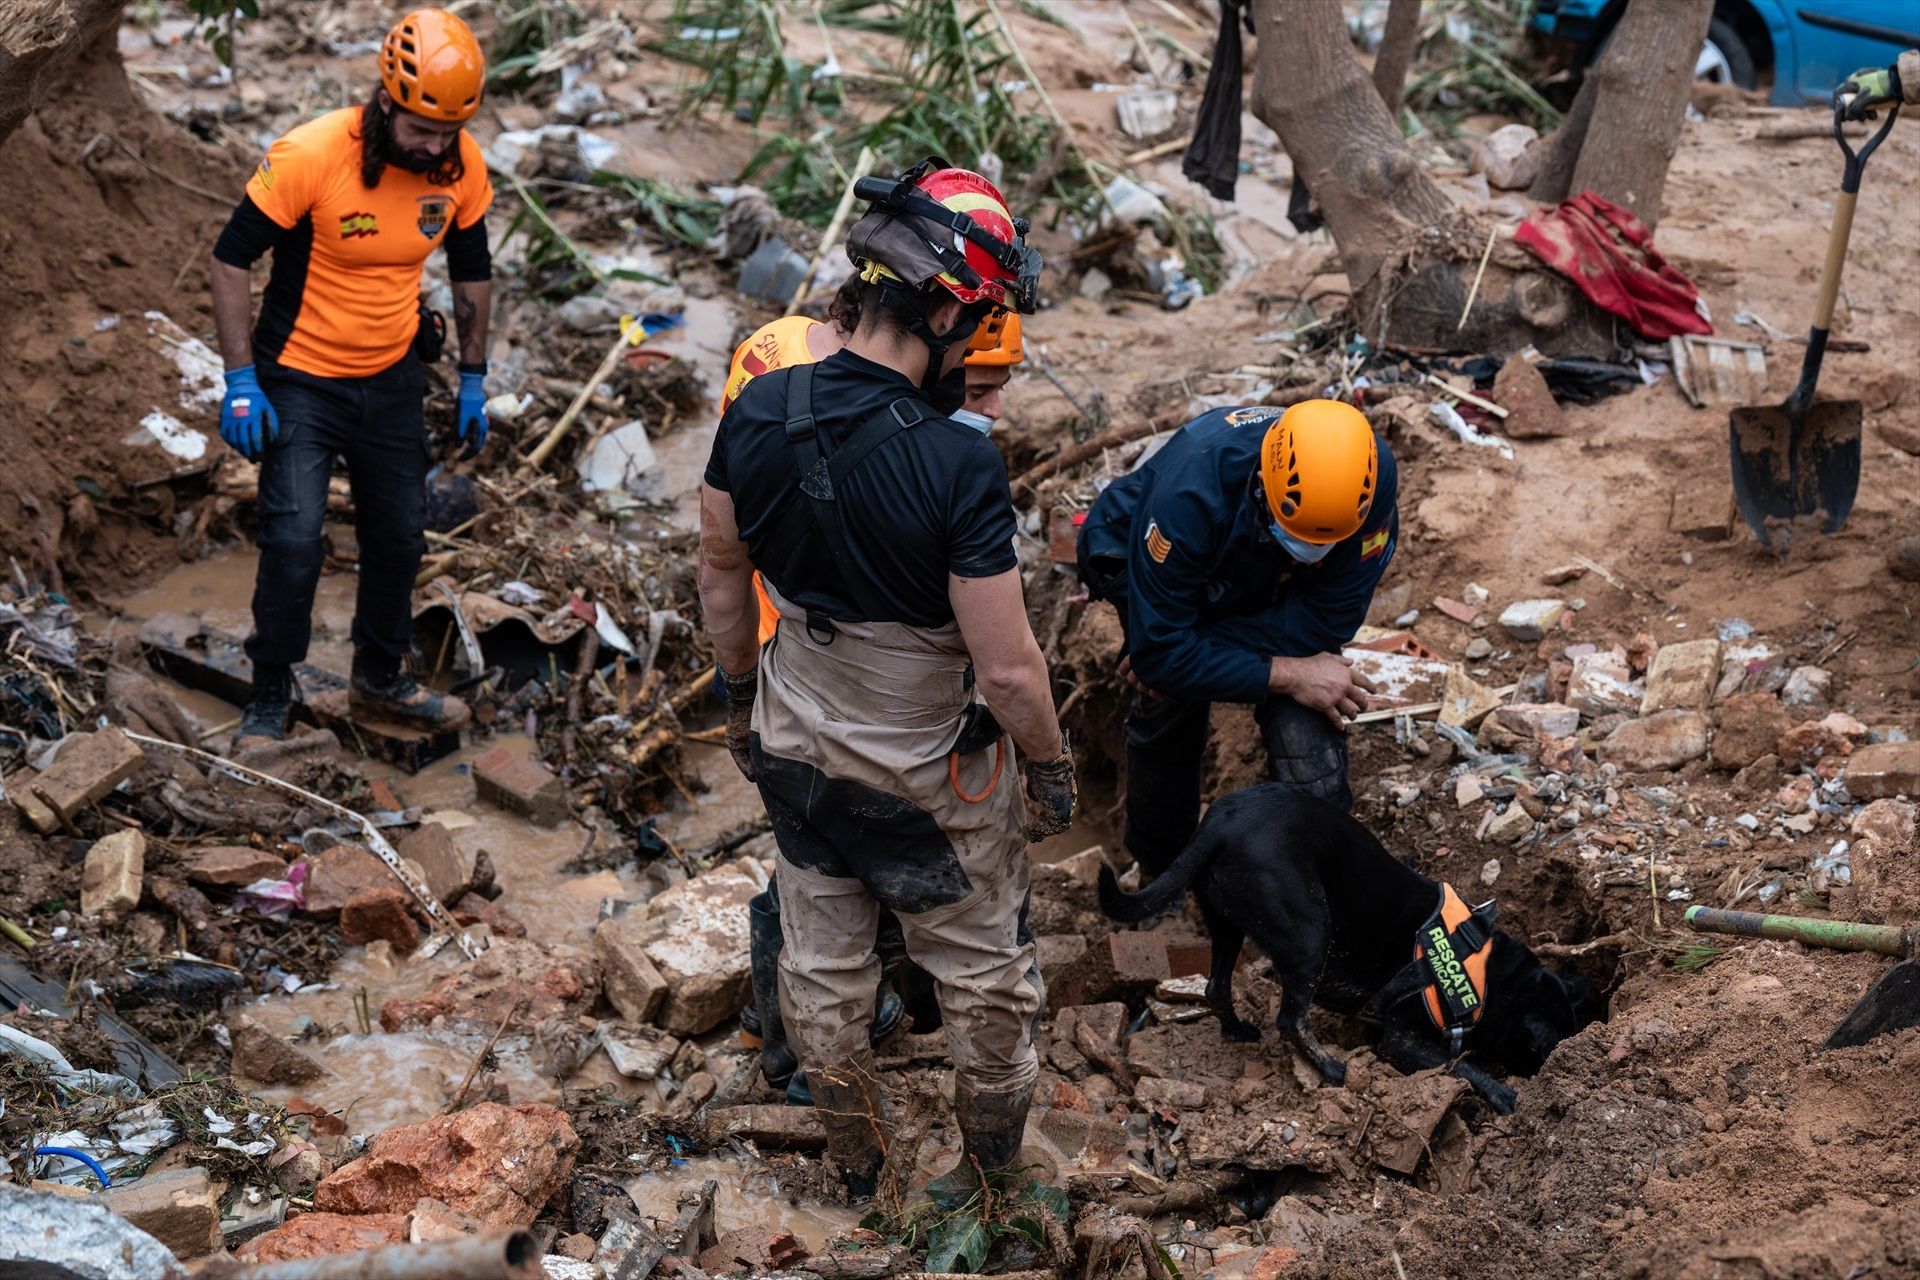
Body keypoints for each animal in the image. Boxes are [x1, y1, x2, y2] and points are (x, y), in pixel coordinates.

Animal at [1105, 782, 1597, 1113]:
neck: (1487, 973)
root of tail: (1219, 820)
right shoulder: (1399, 1039)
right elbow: (1458, 1065)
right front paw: (1501, 1092)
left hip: (1225, 922)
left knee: (1216, 988)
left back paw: (1237, 1031)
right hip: (1310, 930)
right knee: (1290, 1019)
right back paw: (1333, 1070)